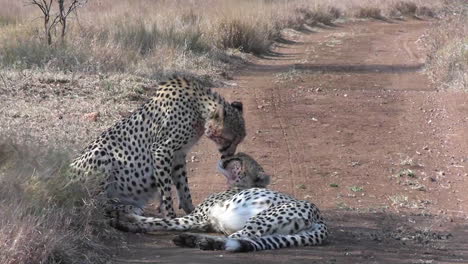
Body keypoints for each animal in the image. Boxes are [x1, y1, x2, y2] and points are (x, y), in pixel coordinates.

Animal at [70, 76, 245, 219]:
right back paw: (125, 208)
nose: (229, 157)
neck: (198, 107)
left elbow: (183, 186)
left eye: (239, 141)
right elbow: (166, 190)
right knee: (93, 204)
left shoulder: (179, 155)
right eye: (230, 141)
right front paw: (170, 215)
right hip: (100, 154)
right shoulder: (162, 150)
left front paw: (191, 210)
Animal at [114, 153, 328, 252]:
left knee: (239, 237)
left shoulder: (196, 216)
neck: (238, 184)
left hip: (261, 218)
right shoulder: (202, 221)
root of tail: (320, 217)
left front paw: (122, 216)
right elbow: (160, 223)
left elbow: (160, 221)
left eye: (238, 158)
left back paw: (198, 241)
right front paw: (130, 221)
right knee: (249, 239)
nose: (224, 158)